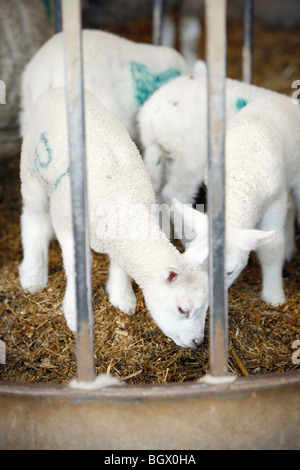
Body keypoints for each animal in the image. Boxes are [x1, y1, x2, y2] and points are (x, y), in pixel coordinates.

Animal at [19, 89, 209, 348]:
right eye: (183, 309)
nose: (198, 342)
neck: (121, 195)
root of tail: (57, 89)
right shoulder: (67, 223)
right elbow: (77, 265)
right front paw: (76, 310)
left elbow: (120, 265)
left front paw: (122, 297)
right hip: (31, 172)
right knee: (34, 219)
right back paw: (33, 274)